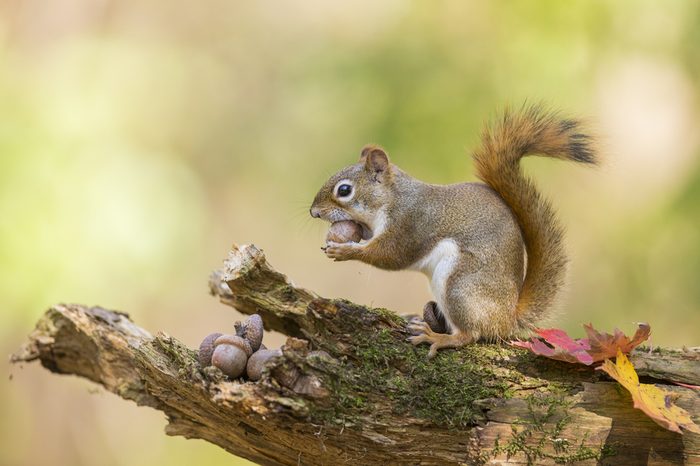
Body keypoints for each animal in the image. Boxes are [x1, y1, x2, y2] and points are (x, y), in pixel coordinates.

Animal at [310, 105, 596, 357]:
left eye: (344, 190)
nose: (314, 212)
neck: (393, 198)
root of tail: (508, 318)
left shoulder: (410, 224)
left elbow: (390, 255)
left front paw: (344, 251)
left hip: (460, 285)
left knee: (470, 334)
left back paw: (438, 338)